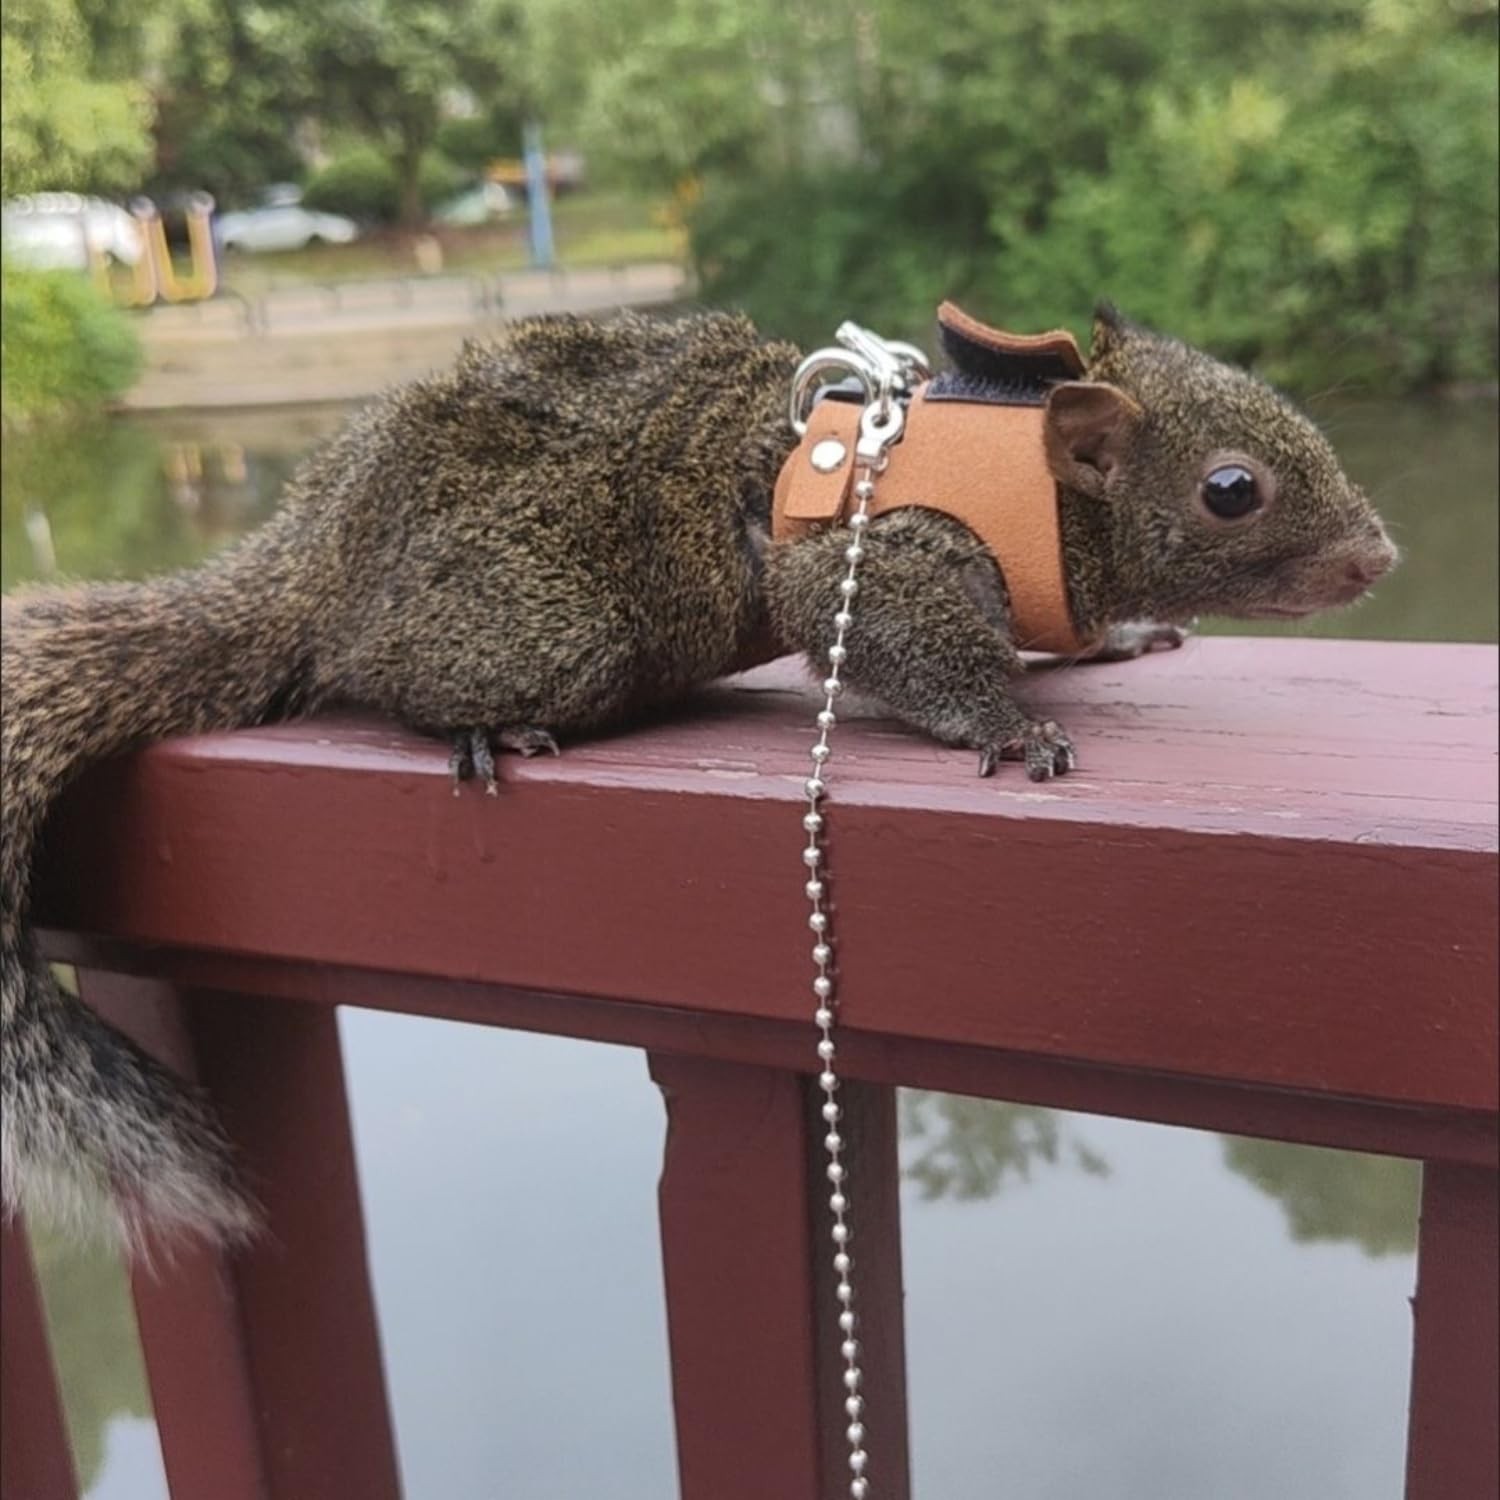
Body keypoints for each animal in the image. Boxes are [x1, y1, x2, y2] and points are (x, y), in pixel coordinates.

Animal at [0, 303, 1397, 1249]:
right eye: (1232, 489)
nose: (1379, 558)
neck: (1031, 476)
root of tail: (320, 550)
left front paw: (1120, 638)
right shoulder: (868, 555)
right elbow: (896, 640)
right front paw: (1006, 723)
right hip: (548, 622)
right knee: (368, 667)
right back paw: (475, 727)